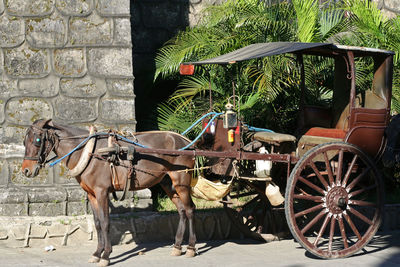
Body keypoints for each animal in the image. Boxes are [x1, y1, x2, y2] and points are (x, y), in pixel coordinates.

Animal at [21, 120, 197, 267]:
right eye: (24, 141)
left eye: (37, 140)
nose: (25, 170)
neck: (88, 152)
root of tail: (186, 142)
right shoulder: (91, 194)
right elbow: (98, 223)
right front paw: (97, 253)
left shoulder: (102, 192)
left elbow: (105, 223)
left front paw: (106, 255)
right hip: (167, 182)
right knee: (182, 210)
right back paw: (177, 246)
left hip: (181, 180)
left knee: (189, 209)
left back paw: (191, 247)